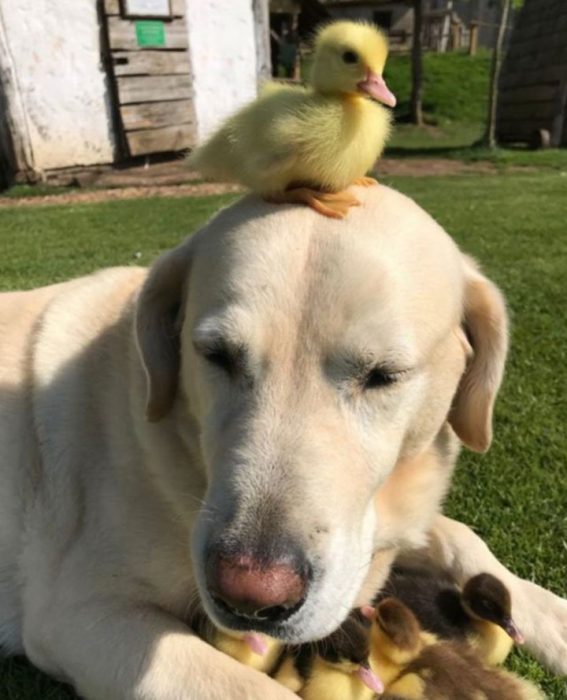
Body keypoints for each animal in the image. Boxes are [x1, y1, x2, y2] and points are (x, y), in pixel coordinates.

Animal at [0, 187, 564, 700]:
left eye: (383, 375)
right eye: (216, 355)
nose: (250, 597)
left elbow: (460, 536)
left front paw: (554, 616)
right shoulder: (80, 613)